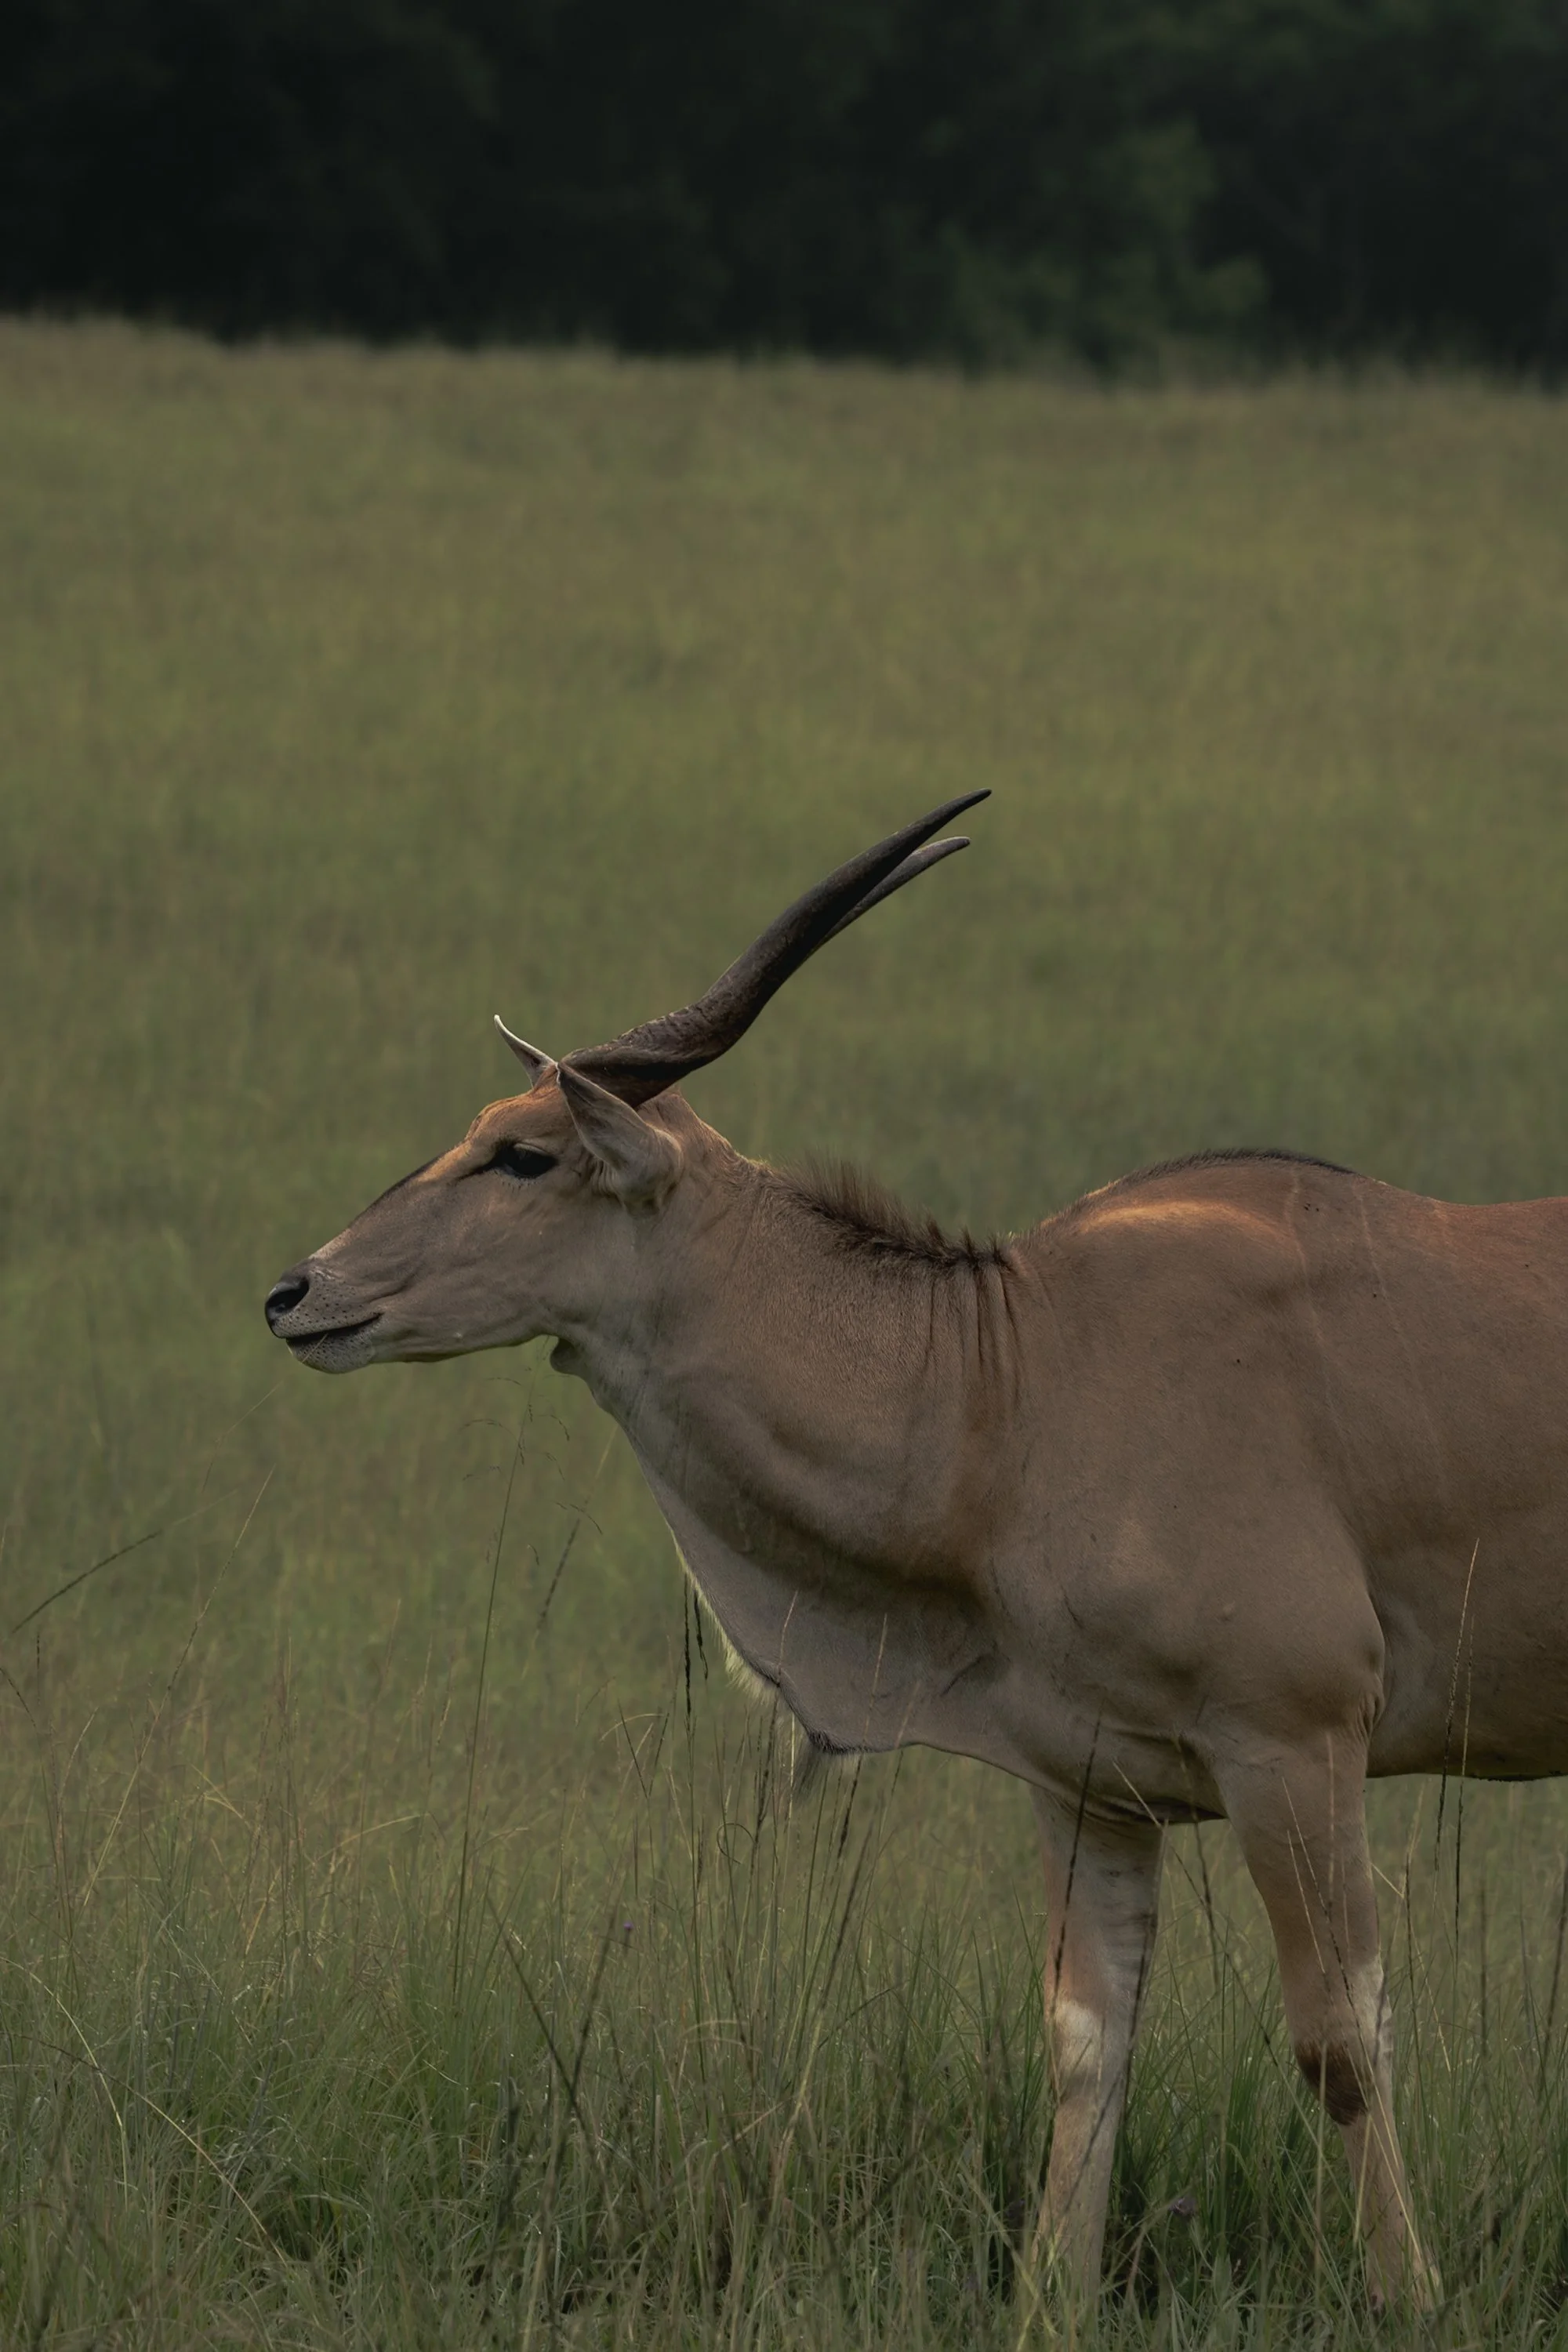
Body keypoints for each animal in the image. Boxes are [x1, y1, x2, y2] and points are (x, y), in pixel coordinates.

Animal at [269, 788, 1568, 2310]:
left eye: (523, 1153)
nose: (297, 1292)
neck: (1012, 1379)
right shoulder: (1091, 1792)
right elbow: (1088, 2047)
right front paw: (1048, 2303)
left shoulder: (1293, 1746)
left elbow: (1342, 2041)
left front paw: (1412, 2296)